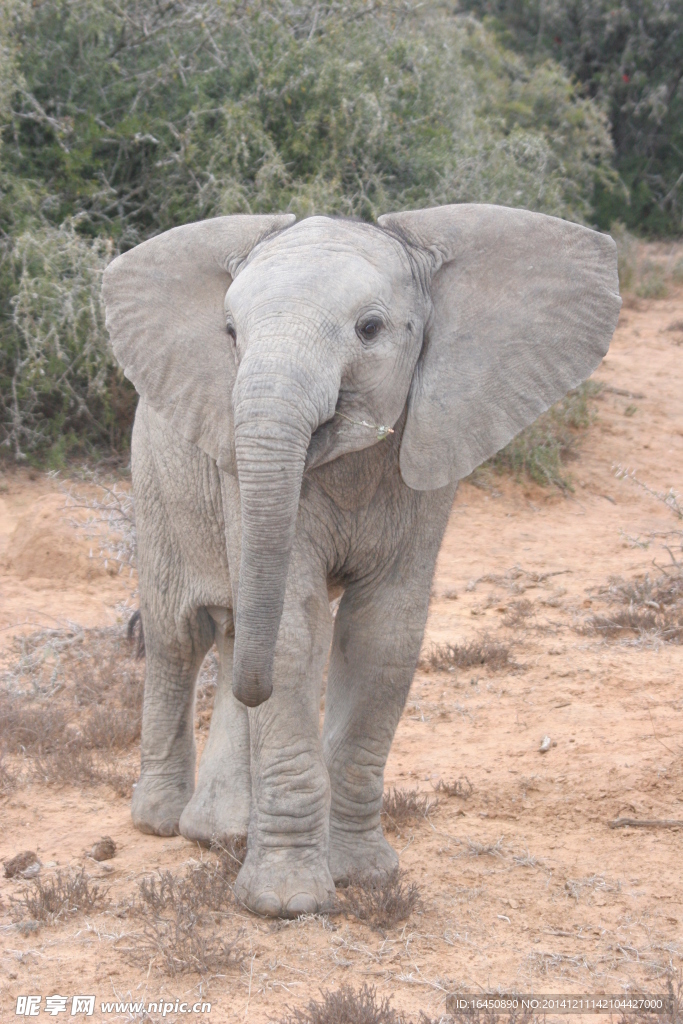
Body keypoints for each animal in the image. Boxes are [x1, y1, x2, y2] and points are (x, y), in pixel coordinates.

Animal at [102, 204, 620, 918]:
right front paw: (288, 904)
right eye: (230, 333)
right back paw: (159, 822)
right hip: (153, 477)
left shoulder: (430, 451)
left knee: (236, 635)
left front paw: (364, 877)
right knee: (181, 637)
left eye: (370, 329)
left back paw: (221, 831)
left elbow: (382, 636)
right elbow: (293, 633)